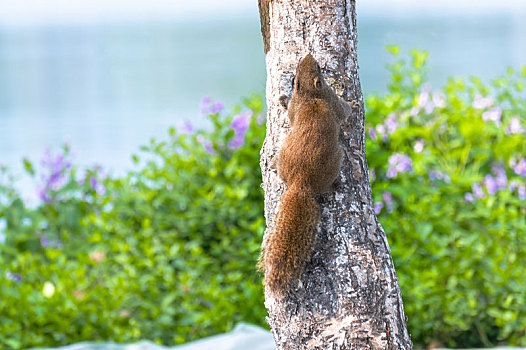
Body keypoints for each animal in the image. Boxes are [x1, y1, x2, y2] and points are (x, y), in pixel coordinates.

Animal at [258, 54, 352, 296]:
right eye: (318, 67)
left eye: (297, 74)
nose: (309, 55)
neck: (311, 96)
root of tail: (300, 182)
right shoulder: (333, 101)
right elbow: (345, 110)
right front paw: (354, 104)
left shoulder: (295, 107)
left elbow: (289, 112)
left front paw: (283, 99)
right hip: (336, 159)